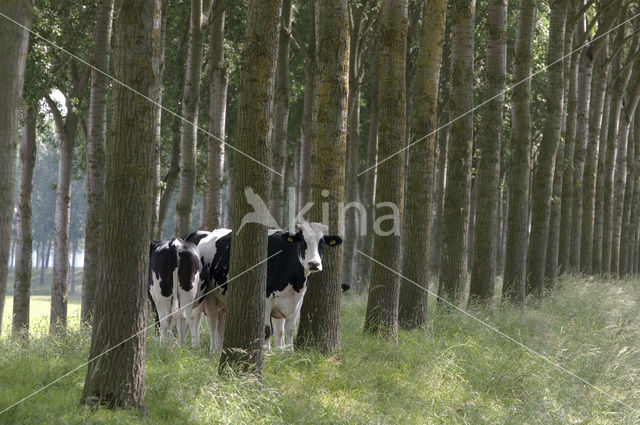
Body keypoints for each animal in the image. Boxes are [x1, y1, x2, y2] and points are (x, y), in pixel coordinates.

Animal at [189, 220, 342, 350]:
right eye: (303, 242)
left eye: (321, 243)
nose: (314, 264)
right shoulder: (266, 299)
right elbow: (267, 331)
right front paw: (266, 353)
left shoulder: (298, 301)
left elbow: (290, 330)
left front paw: (289, 353)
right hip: (209, 295)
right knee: (210, 321)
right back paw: (210, 349)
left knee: (221, 323)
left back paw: (220, 348)